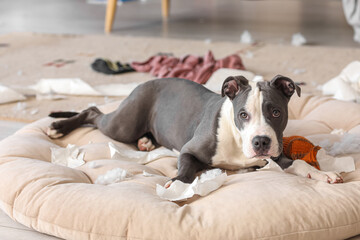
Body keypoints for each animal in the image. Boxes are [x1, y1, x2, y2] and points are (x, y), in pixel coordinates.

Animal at [47, 76, 344, 185]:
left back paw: (146, 142)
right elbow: (188, 168)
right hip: (122, 125)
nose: (260, 142)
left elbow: (297, 164)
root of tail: (147, 81)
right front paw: (178, 183)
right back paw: (59, 127)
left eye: (276, 113)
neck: (237, 141)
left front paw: (323, 173)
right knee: (92, 111)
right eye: (243, 115)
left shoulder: (276, 155)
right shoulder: (190, 151)